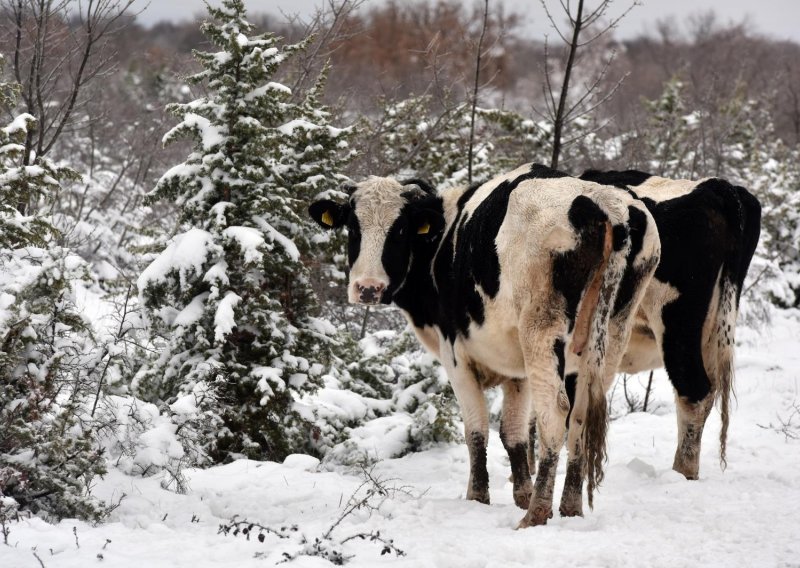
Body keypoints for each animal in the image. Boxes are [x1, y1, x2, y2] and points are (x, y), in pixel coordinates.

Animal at [310, 162, 660, 524]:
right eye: (353, 227)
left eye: (401, 230)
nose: (368, 288)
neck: (444, 241)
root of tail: (603, 202)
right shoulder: (518, 371)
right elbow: (513, 432)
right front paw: (521, 493)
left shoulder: (456, 355)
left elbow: (476, 431)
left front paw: (479, 497)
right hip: (610, 336)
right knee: (580, 416)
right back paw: (570, 507)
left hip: (542, 332)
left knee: (555, 415)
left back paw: (536, 513)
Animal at [576, 169, 764, 480]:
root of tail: (716, 186)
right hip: (712, 329)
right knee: (707, 392)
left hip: (677, 320)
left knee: (694, 389)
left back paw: (682, 472)